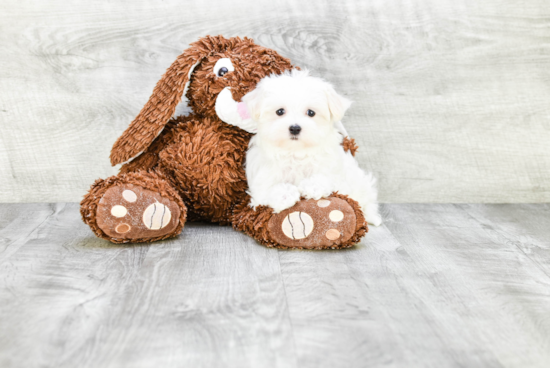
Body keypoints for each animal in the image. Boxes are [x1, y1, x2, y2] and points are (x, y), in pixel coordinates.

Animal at [242, 67, 384, 226]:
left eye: (311, 112)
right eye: (280, 111)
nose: (295, 128)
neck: (296, 152)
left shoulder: (336, 173)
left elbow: (329, 180)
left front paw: (312, 185)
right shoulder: (262, 181)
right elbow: (267, 191)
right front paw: (285, 194)